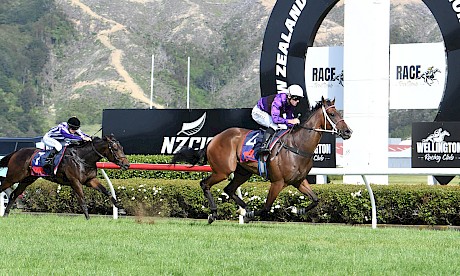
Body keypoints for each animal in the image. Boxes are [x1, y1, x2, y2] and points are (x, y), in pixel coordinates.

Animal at [0, 135, 129, 219]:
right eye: (115, 149)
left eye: (122, 148)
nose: (127, 164)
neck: (82, 158)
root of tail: (17, 152)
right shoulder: (75, 181)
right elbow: (82, 200)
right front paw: (88, 218)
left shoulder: (90, 180)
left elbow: (107, 191)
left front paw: (119, 207)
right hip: (13, 177)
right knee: (3, 187)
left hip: (27, 180)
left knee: (14, 194)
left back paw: (6, 214)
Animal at [172, 96, 352, 222]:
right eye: (332, 114)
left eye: (340, 113)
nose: (348, 132)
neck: (297, 146)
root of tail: (214, 139)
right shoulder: (277, 182)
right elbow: (266, 207)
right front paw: (250, 215)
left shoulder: (299, 181)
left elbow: (315, 199)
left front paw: (297, 210)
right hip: (223, 170)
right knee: (205, 184)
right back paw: (214, 214)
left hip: (242, 172)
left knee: (229, 189)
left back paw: (243, 208)